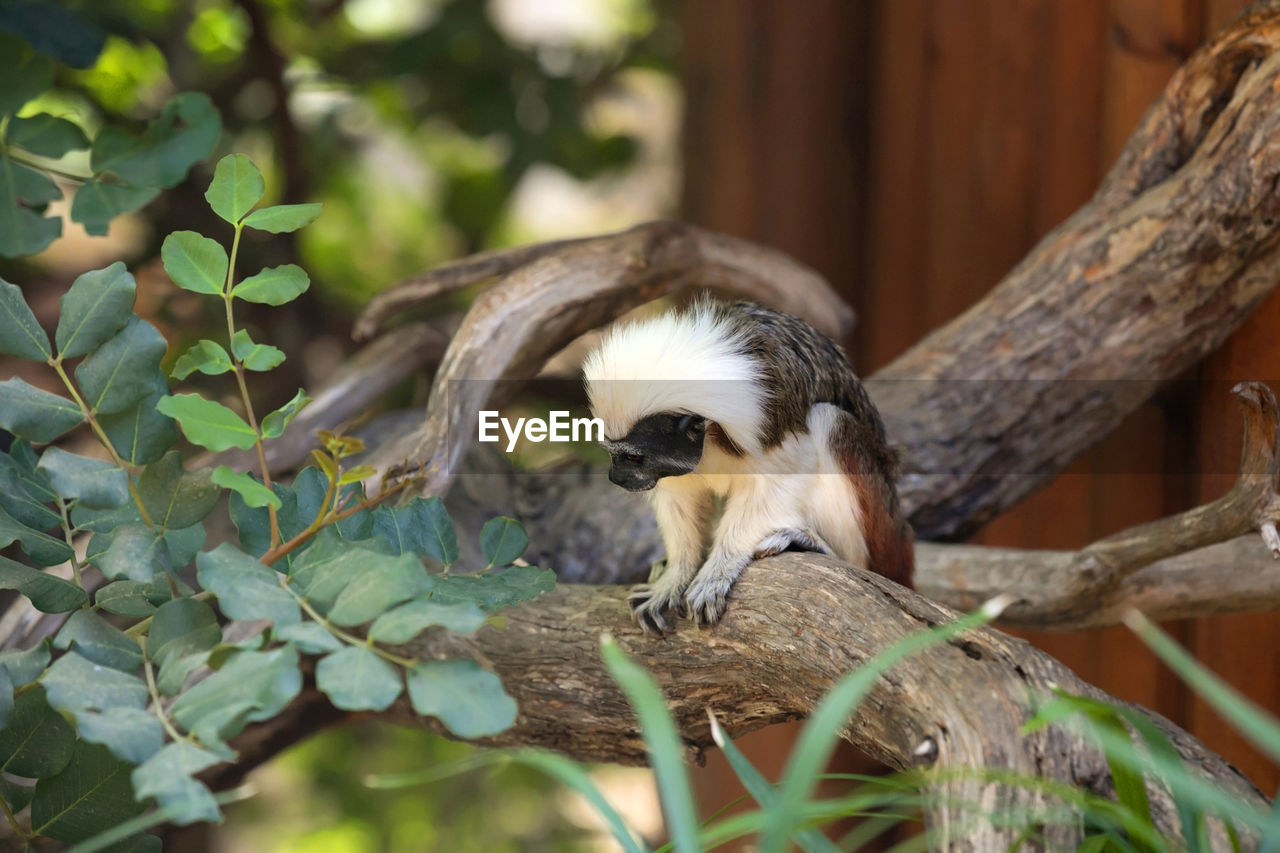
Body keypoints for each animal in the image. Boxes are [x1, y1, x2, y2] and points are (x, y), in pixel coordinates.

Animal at [586, 298, 916, 630]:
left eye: (633, 457)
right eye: (611, 453)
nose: (616, 477)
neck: (710, 434)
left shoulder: (770, 420)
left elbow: (782, 478)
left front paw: (718, 570)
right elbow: (682, 498)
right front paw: (675, 575)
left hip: (882, 533)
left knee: (829, 419)